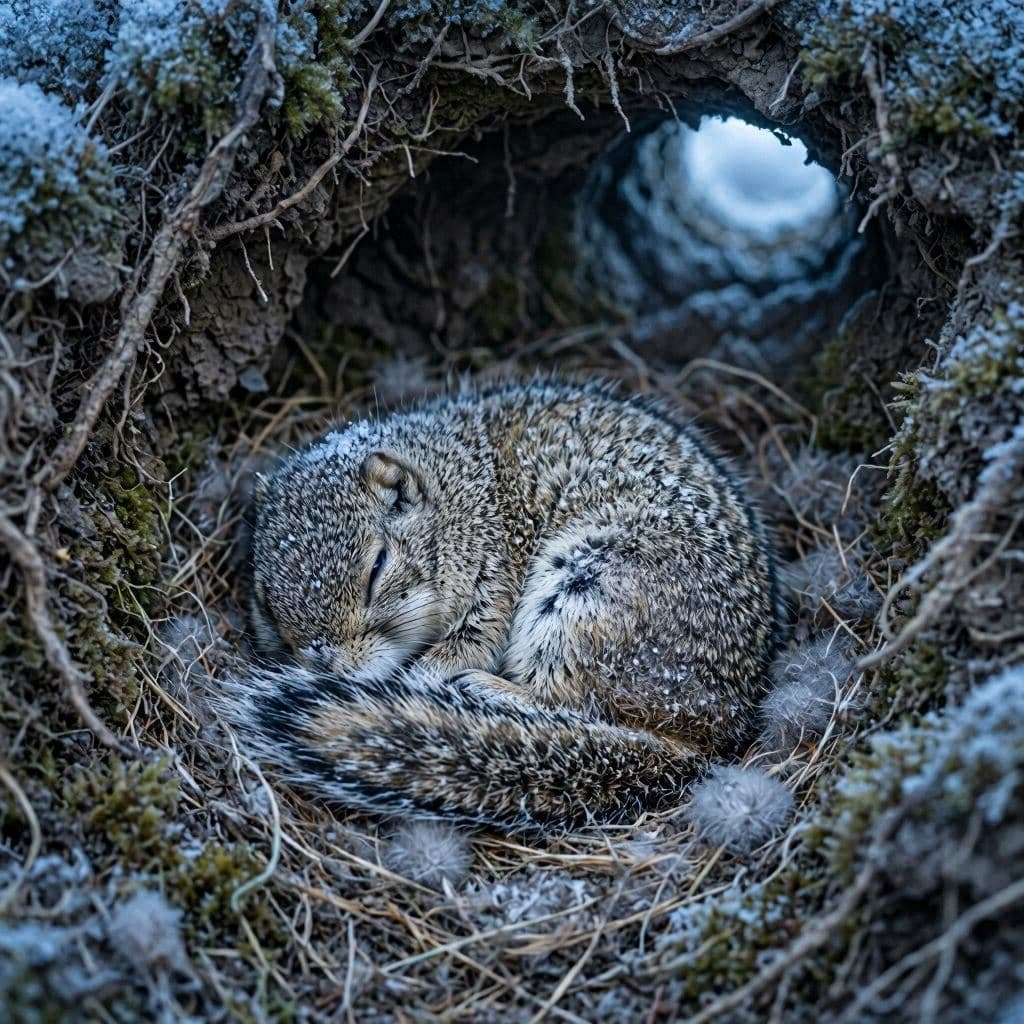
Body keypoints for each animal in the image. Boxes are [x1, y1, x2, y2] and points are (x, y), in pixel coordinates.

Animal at [222, 379, 780, 833]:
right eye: (265, 600)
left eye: (378, 566)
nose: (327, 663)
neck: (456, 485)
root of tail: (716, 728)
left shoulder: (491, 573)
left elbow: (468, 643)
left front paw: (423, 674)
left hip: (587, 596)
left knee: (574, 701)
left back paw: (483, 688)